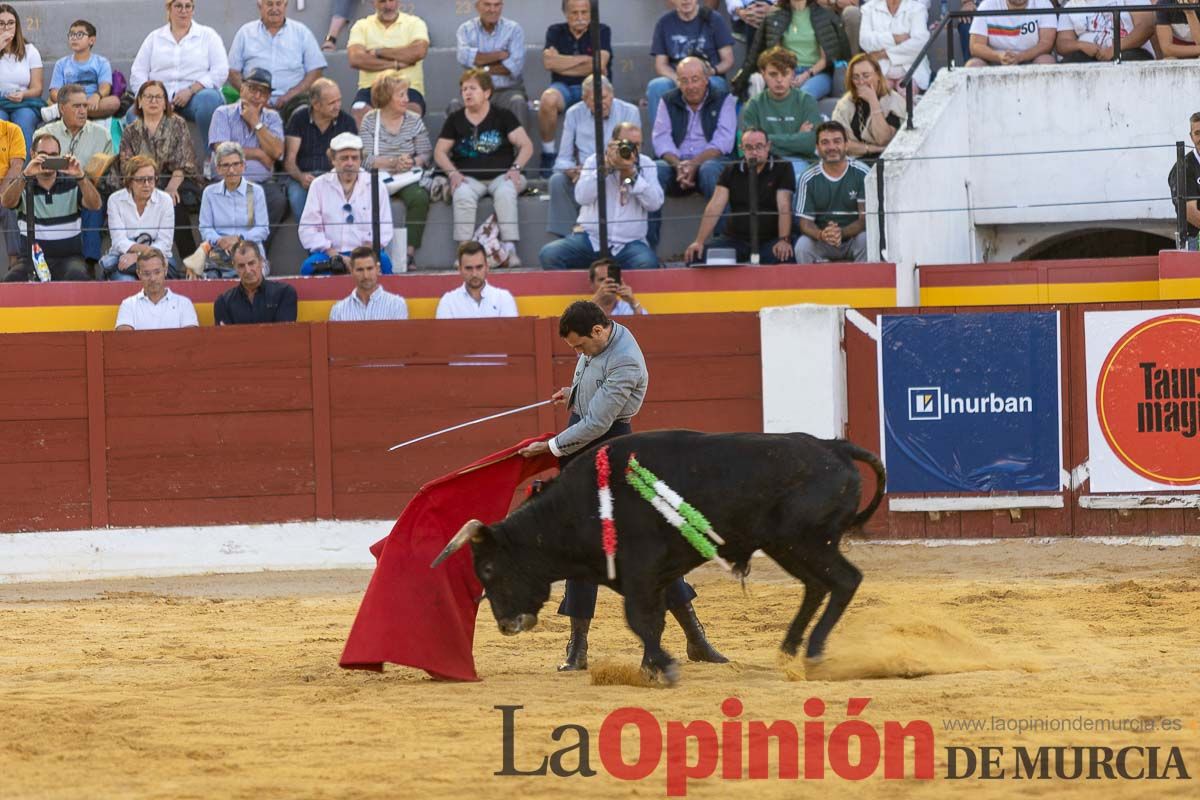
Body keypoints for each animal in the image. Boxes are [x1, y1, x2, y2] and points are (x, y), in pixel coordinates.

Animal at [432, 429, 883, 686]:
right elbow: (656, 619)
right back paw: (790, 648)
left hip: (807, 541)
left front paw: (662, 667)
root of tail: (834, 446)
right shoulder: (656, 575)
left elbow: (640, 619)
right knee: (817, 586)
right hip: (789, 546)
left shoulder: (641, 572)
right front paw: (653, 665)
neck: (584, 504)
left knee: (844, 581)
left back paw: (814, 651)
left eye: (489, 568)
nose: (506, 625)